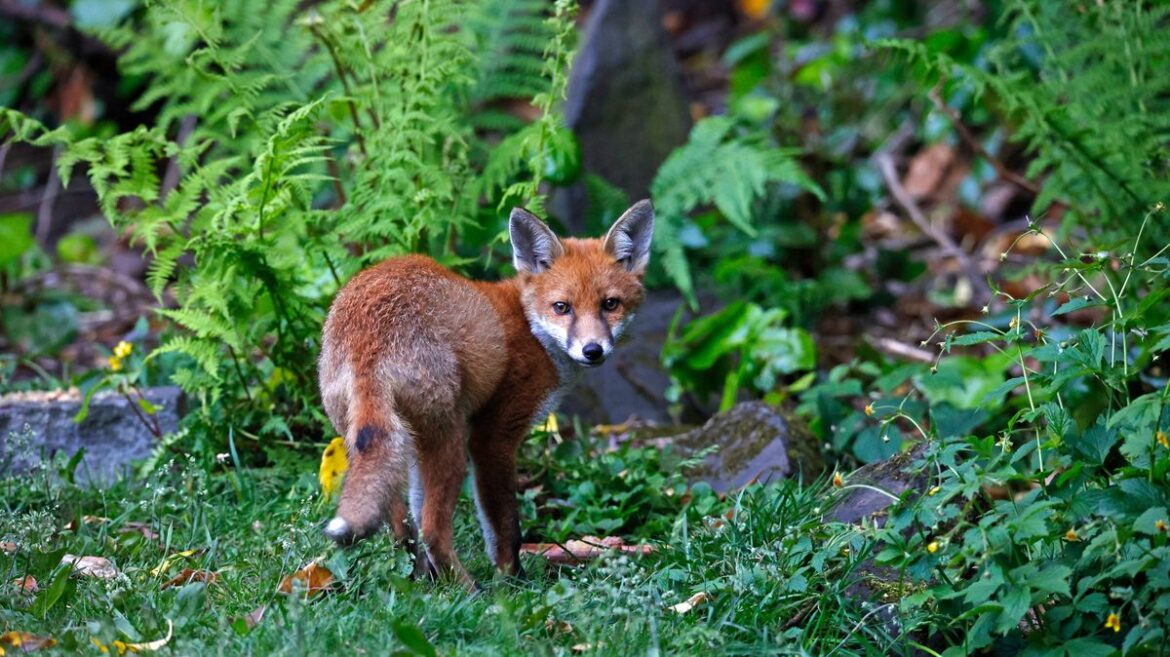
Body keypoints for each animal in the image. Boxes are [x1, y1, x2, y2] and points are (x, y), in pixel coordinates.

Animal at [318, 200, 655, 585]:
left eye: (610, 304)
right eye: (562, 307)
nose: (592, 350)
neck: (531, 330)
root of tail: (368, 339)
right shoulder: (492, 437)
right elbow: (506, 527)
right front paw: (512, 581)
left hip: (392, 442)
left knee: (403, 525)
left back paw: (422, 579)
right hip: (449, 445)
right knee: (432, 529)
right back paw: (469, 591)